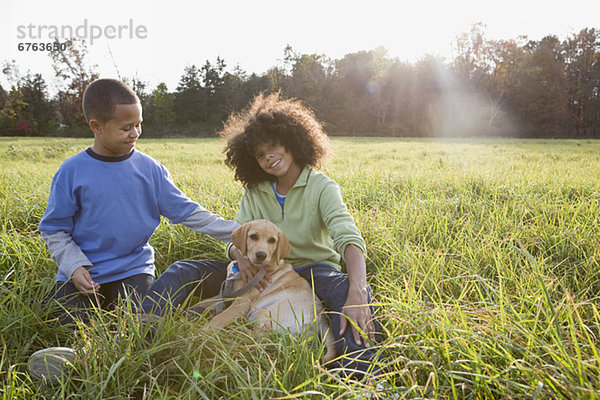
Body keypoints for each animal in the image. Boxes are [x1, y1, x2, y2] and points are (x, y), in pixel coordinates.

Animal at [206, 219, 338, 362]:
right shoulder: (227, 294)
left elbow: (220, 318)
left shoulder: (242, 303)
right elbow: (206, 301)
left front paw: (202, 332)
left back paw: (229, 340)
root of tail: (321, 317)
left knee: (257, 342)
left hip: (264, 315)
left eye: (272, 240)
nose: (261, 255)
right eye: (253, 236)